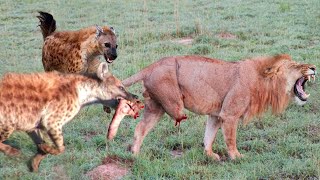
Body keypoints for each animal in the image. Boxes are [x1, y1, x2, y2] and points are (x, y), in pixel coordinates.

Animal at [107, 53, 316, 160]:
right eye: (295, 65)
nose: (314, 67)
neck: (264, 81)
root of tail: (152, 65)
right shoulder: (229, 115)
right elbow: (231, 139)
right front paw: (236, 157)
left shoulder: (216, 115)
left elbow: (209, 136)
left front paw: (209, 155)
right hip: (171, 103)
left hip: (156, 107)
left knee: (140, 128)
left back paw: (135, 155)